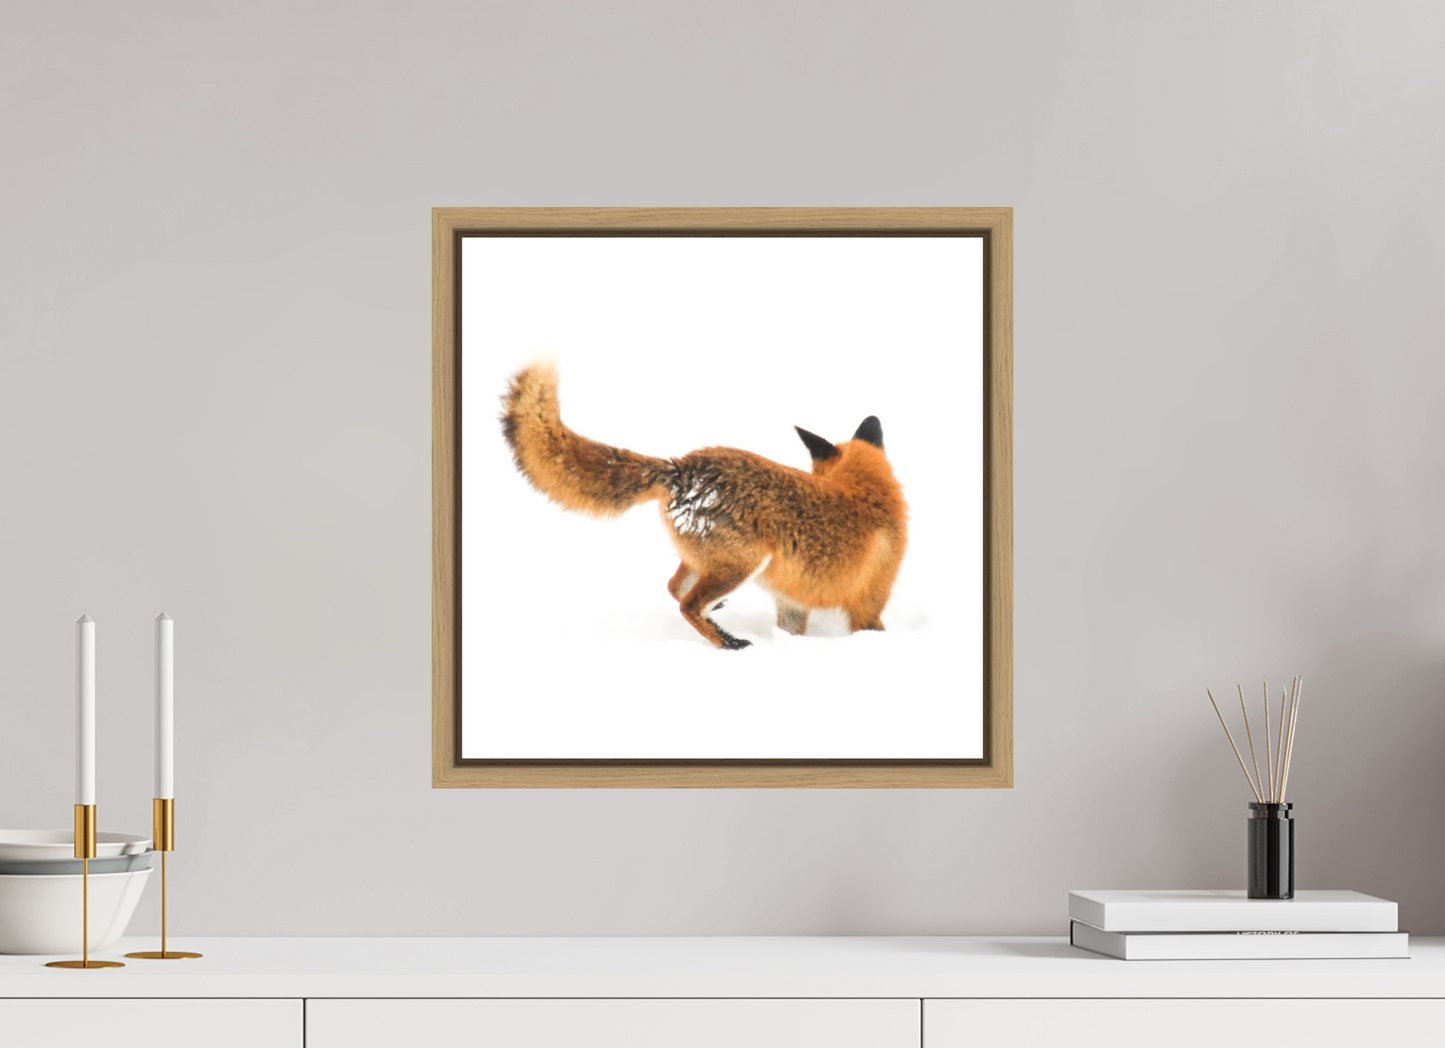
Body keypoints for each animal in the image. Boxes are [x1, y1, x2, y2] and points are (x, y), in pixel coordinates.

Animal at [500, 362, 908, 650]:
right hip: (742, 563)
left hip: (705, 561)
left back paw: (718, 619)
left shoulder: (792, 603)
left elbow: (792, 631)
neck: (864, 490)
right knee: (688, 605)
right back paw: (730, 643)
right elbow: (871, 627)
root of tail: (682, 467)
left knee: (673, 587)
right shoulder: (868, 604)